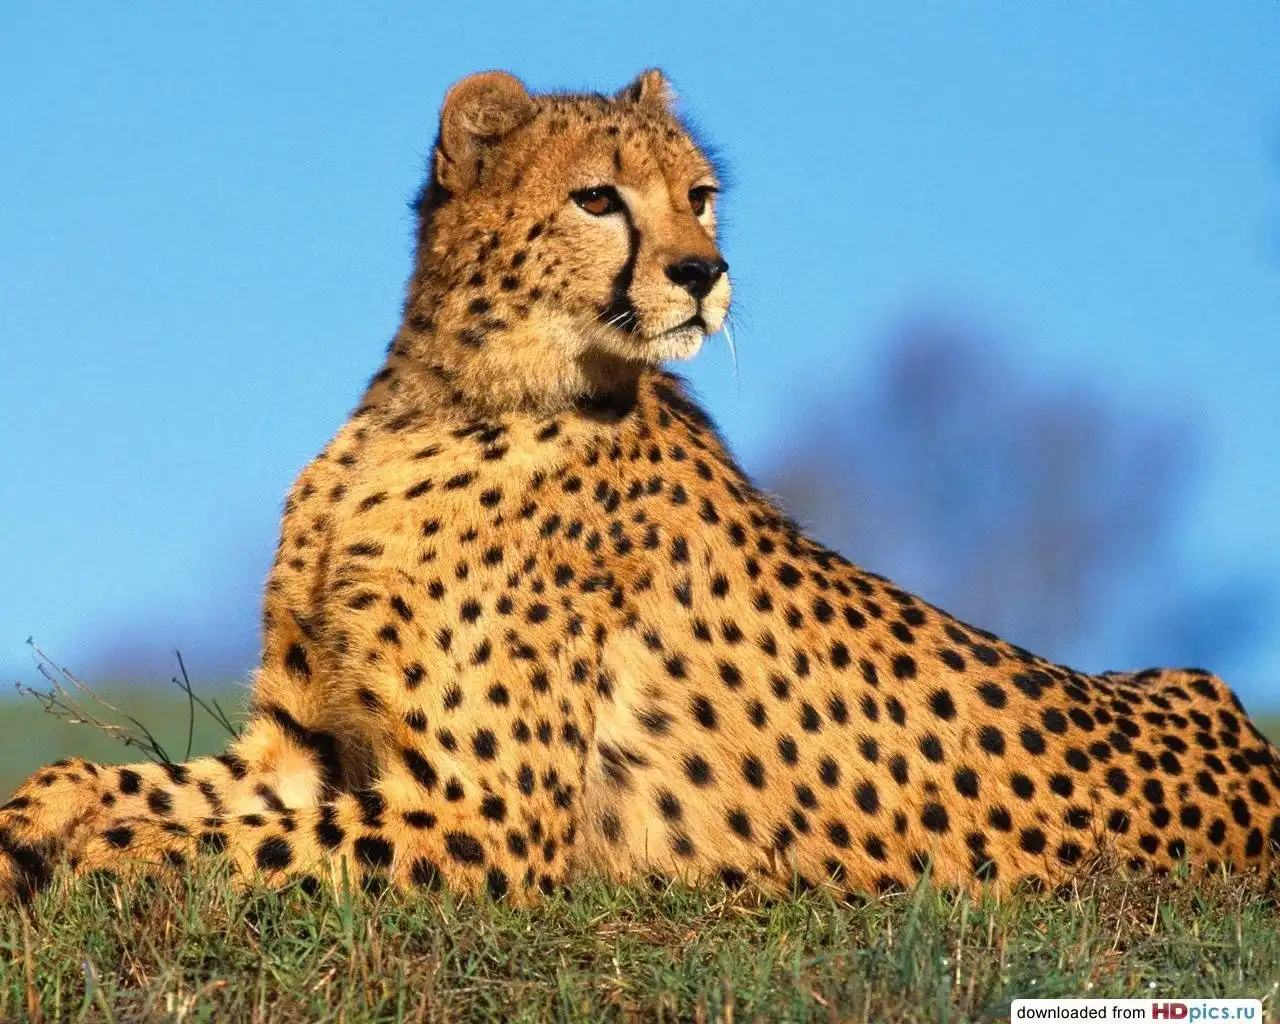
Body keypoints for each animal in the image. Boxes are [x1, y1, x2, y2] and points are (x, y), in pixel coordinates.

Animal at [3, 69, 1278, 908]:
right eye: (597, 199)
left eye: (698, 196)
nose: (703, 272)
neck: (445, 398)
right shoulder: (299, 746)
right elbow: (112, 777)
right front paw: (36, 819)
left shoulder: (485, 817)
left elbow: (191, 838)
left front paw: (82, 850)